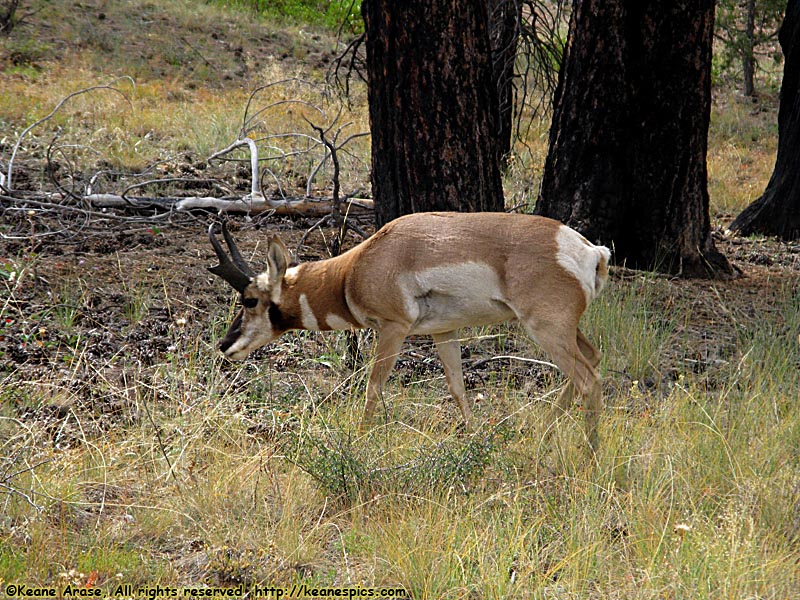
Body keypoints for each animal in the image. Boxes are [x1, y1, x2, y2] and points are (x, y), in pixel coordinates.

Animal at [208, 211, 612, 450]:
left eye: (249, 300)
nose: (225, 345)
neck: (356, 268)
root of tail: (591, 250)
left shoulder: (393, 329)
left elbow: (373, 387)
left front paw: (359, 441)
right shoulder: (444, 334)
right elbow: (457, 388)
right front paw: (474, 439)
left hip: (546, 329)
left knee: (588, 380)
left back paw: (589, 455)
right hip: (563, 332)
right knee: (591, 362)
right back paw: (542, 437)